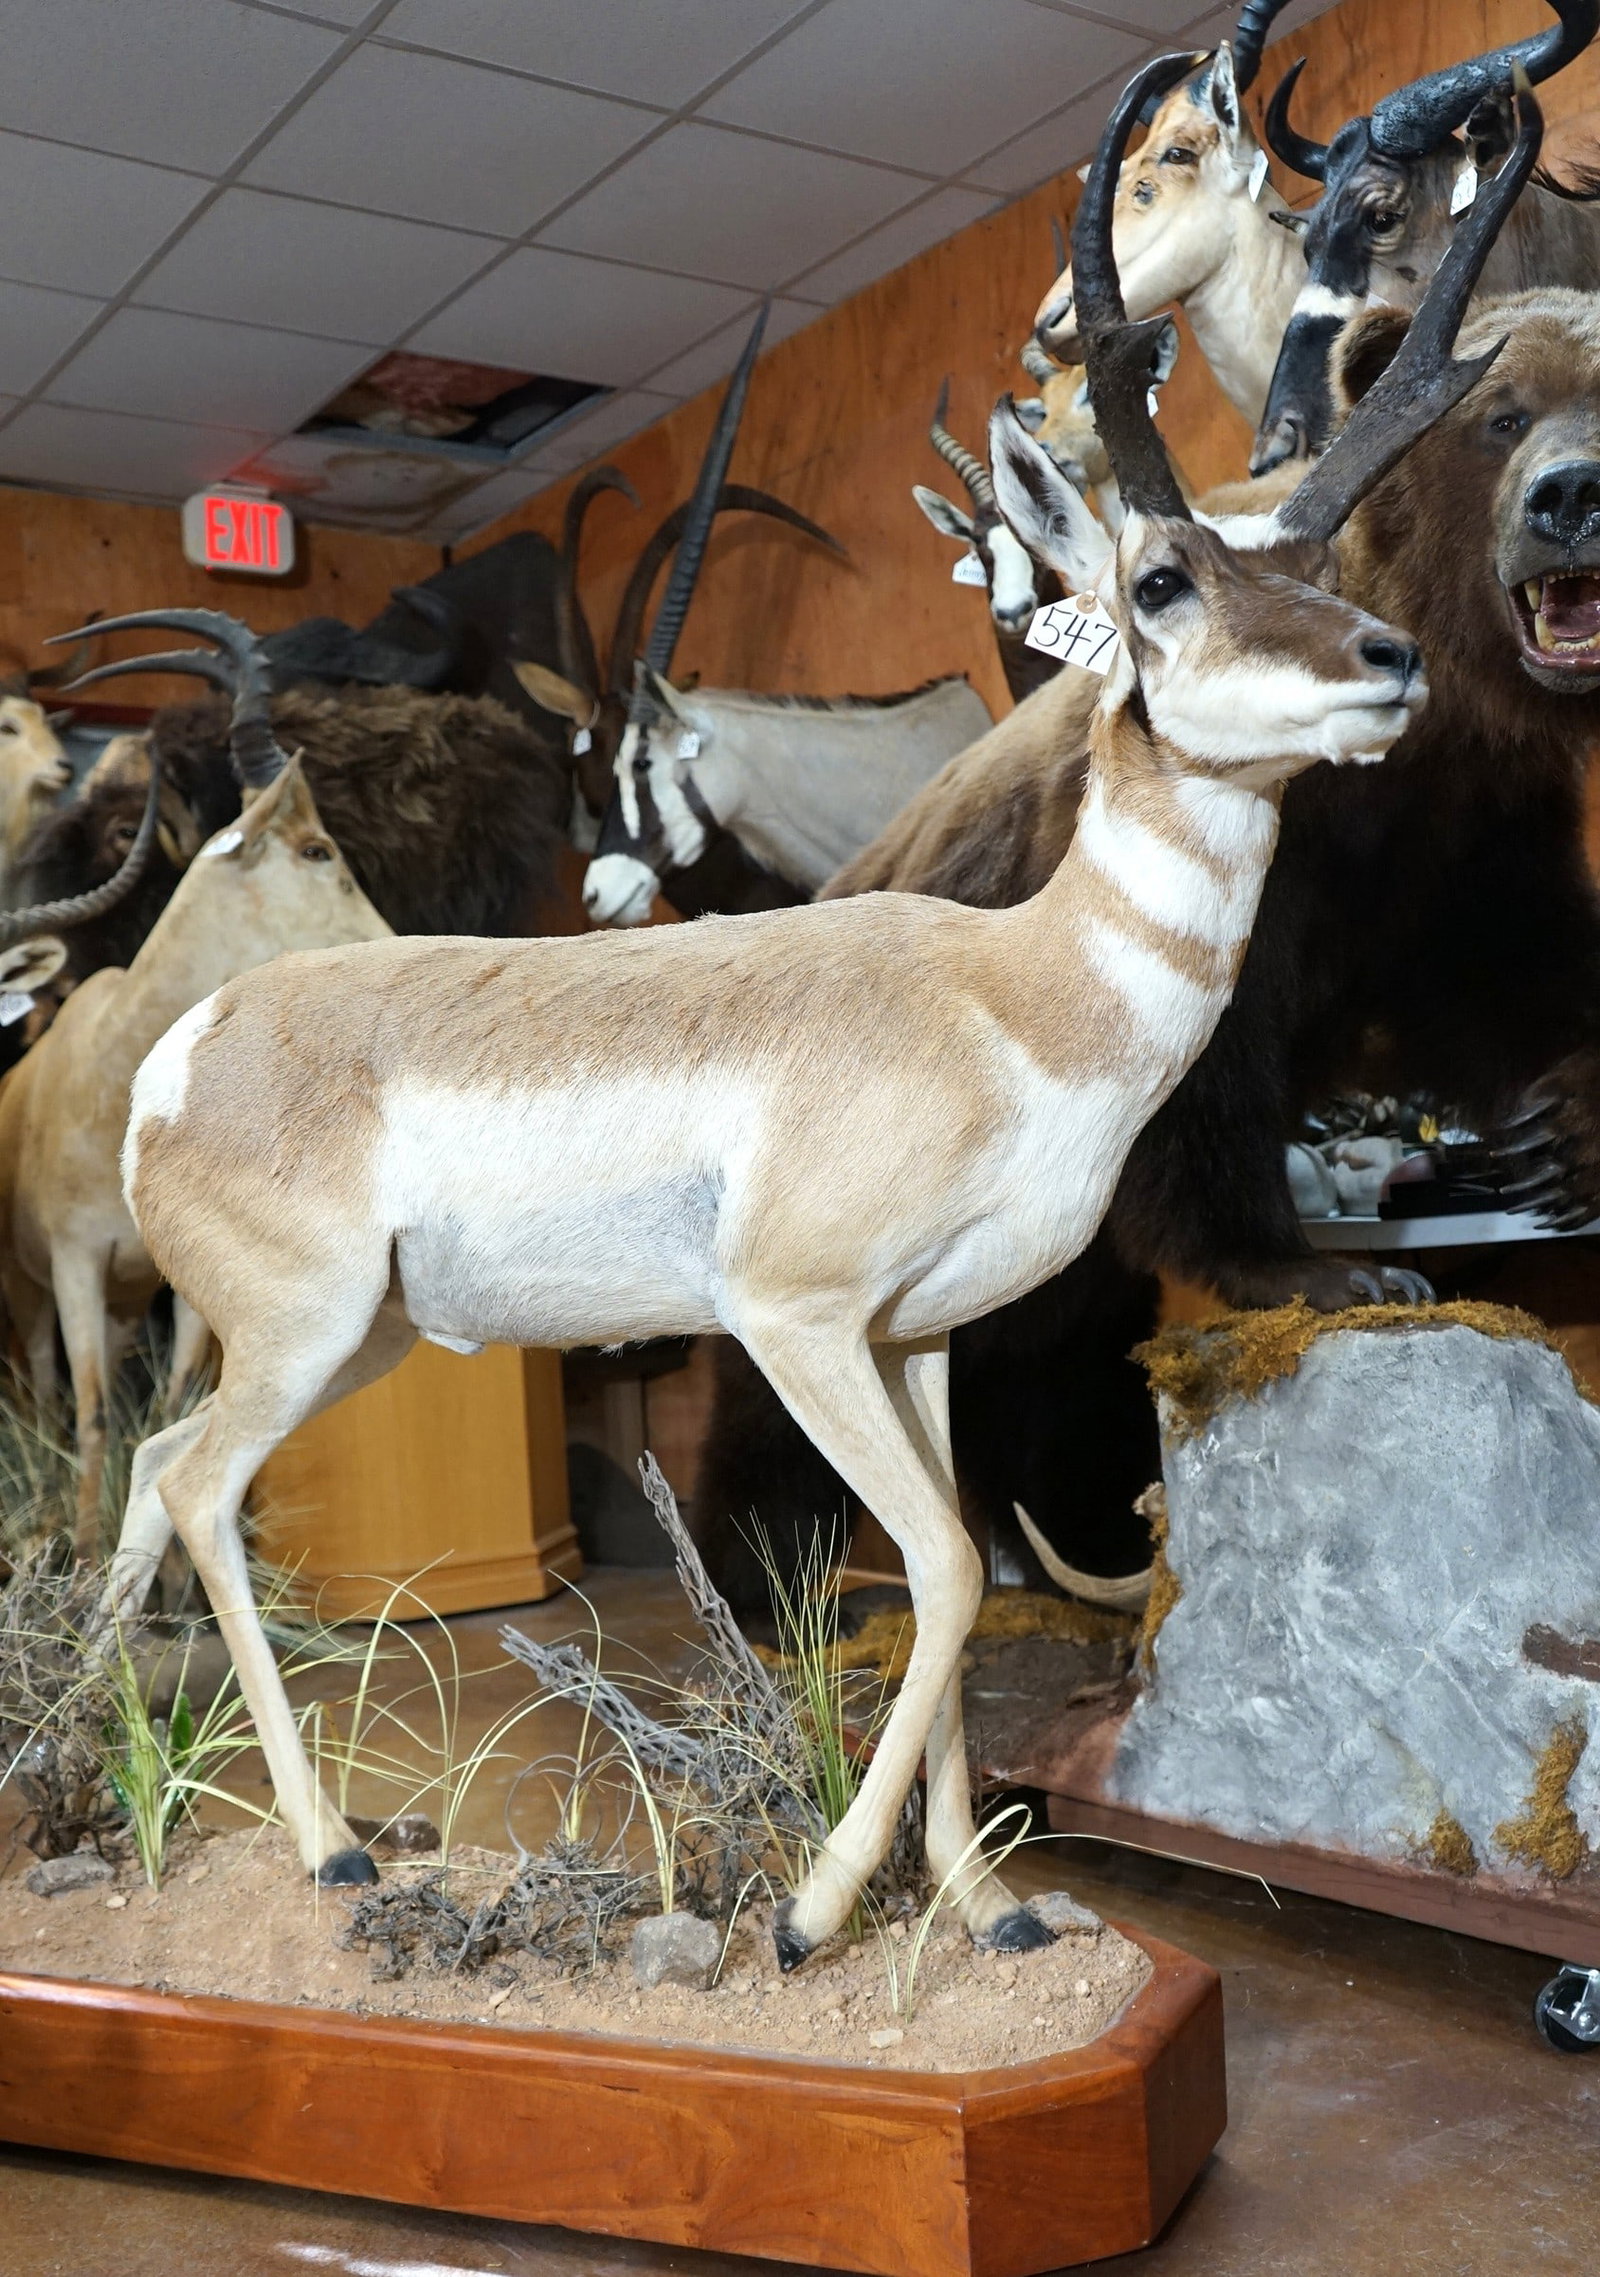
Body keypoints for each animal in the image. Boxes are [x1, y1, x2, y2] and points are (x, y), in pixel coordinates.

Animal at [0, 637, 388, 1557]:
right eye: (316, 849)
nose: (394, 941)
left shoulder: (177, 1288)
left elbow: (171, 1407)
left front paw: (170, 1578)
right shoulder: (74, 1262)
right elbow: (95, 1414)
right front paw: (90, 1556)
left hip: (123, 1303)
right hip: (29, 1292)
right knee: (46, 1395)